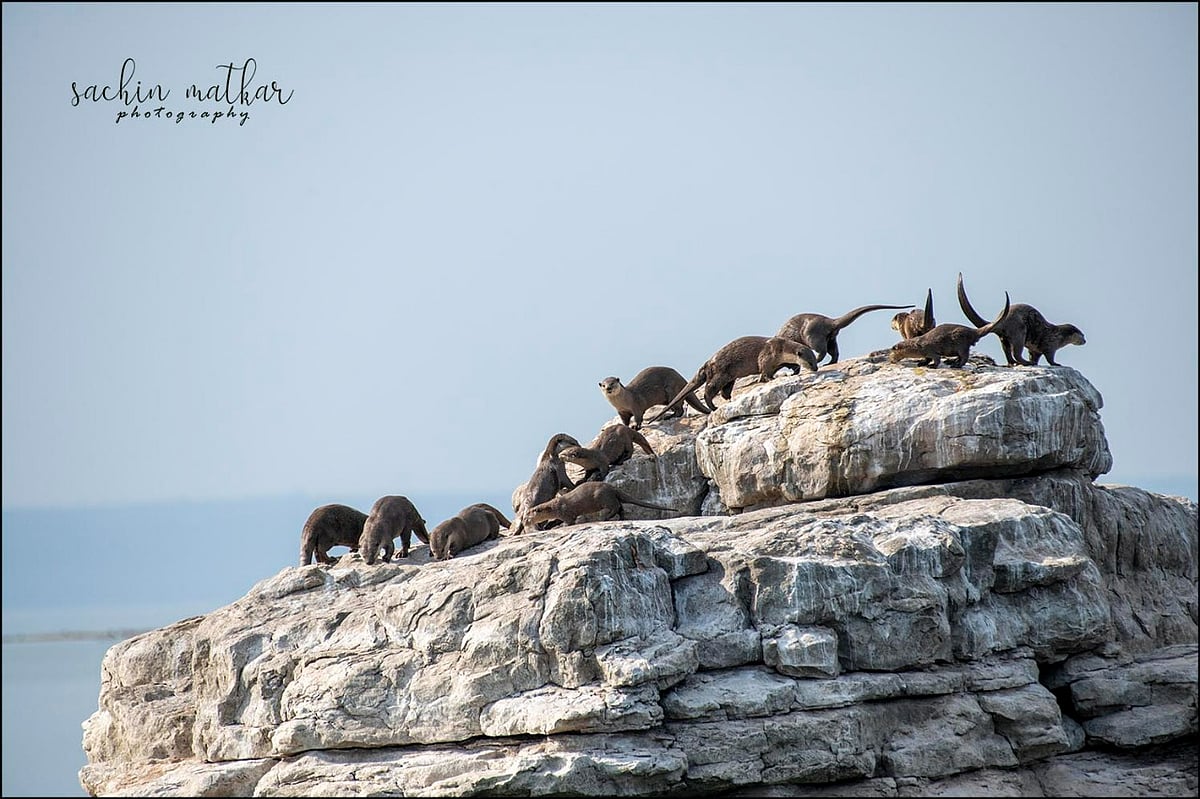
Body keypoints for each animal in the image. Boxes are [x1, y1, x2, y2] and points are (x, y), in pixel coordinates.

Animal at [526, 482, 682, 527]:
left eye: (527, 516)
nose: (526, 521)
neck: (555, 506)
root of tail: (612, 488)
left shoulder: (566, 512)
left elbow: (570, 521)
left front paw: (562, 526)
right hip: (610, 498)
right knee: (621, 508)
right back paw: (622, 519)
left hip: (604, 498)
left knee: (615, 507)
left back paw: (605, 518)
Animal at [644, 336, 818, 424]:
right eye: (811, 362)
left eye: (816, 361)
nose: (815, 368)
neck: (781, 348)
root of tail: (708, 362)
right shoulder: (767, 357)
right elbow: (764, 373)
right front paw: (771, 378)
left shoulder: (779, 361)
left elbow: (790, 364)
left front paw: (794, 371)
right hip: (720, 373)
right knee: (709, 390)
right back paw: (713, 407)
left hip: (729, 377)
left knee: (723, 391)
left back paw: (728, 400)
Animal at [776, 303, 914, 364]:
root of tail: (830, 321)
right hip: (831, 338)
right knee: (834, 352)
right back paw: (830, 363)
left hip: (813, 335)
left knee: (822, 351)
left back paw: (819, 361)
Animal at [957, 273, 1085, 366]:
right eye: (1082, 335)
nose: (1085, 341)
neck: (1058, 336)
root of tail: (1002, 318)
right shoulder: (1050, 344)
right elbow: (1050, 358)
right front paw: (1056, 364)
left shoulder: (1035, 350)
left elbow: (1035, 356)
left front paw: (1034, 362)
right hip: (1019, 331)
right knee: (1016, 352)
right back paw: (1025, 363)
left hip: (1004, 338)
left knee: (1007, 350)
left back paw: (1013, 362)